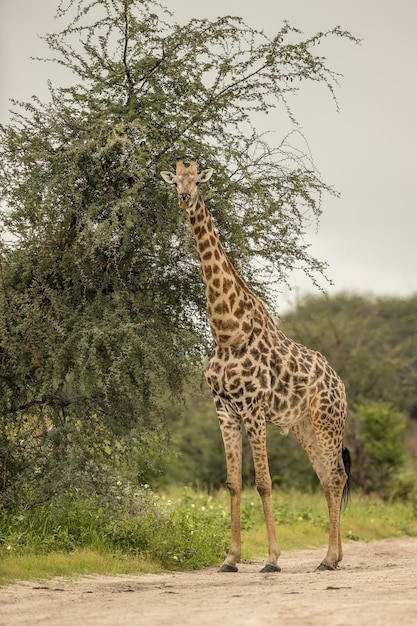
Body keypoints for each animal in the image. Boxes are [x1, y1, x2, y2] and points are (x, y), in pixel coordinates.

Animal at [161, 158, 350, 572]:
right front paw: (230, 558)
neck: (227, 331)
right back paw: (333, 557)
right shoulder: (224, 409)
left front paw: (272, 559)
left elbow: (264, 482)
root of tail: (339, 382)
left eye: (197, 181)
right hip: (303, 424)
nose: (184, 199)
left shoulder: (253, 408)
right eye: (175, 181)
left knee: (337, 475)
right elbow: (234, 482)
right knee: (326, 477)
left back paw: (329, 559)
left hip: (327, 420)